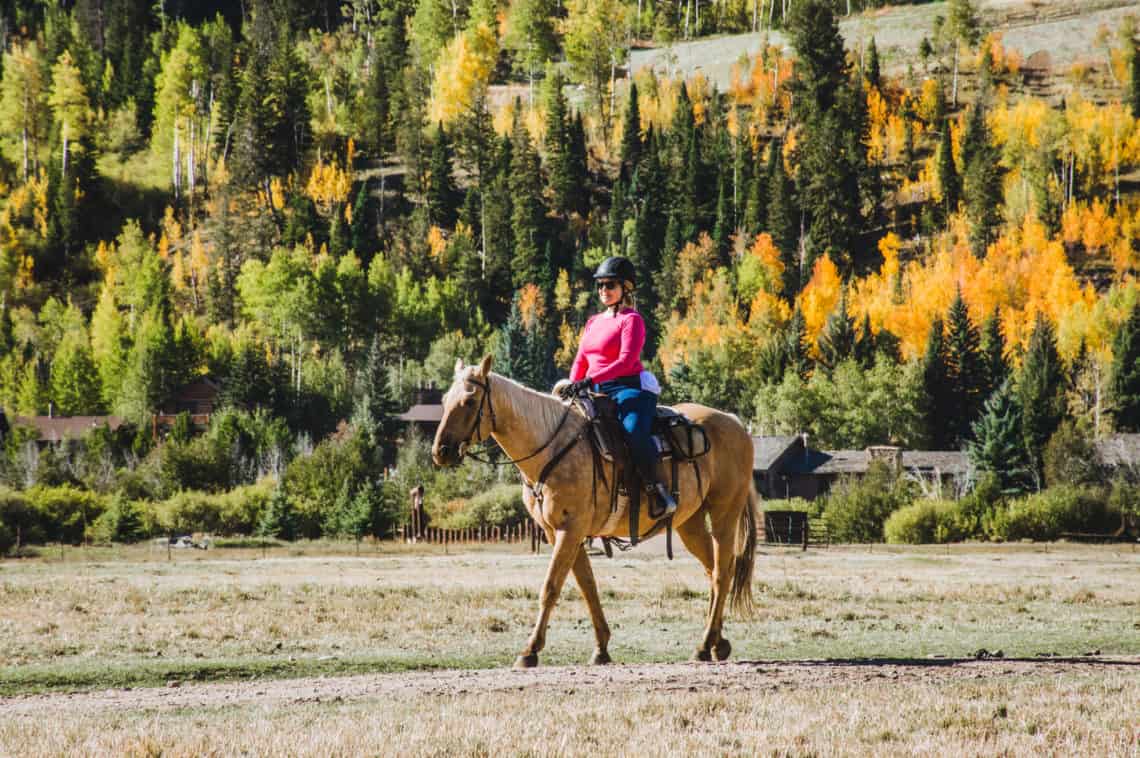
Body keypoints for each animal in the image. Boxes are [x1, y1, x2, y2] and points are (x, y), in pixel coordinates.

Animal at [428, 355, 756, 670]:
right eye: (444, 400)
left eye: (469, 401)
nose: (440, 451)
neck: (552, 446)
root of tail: (734, 422)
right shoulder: (558, 532)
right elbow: (587, 586)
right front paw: (601, 648)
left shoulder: (570, 530)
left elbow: (551, 587)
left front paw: (530, 651)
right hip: (690, 523)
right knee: (714, 570)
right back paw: (717, 643)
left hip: (725, 513)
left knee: (722, 574)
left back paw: (704, 644)